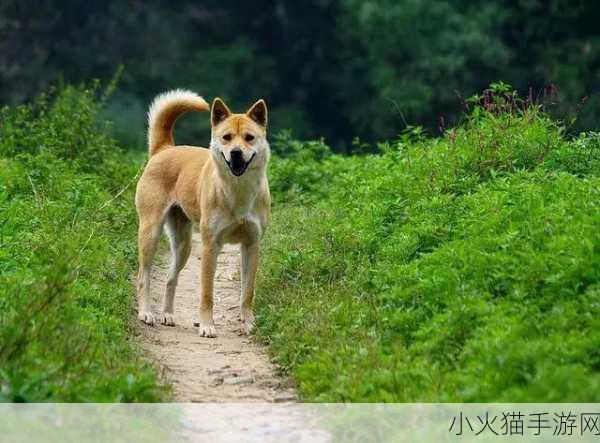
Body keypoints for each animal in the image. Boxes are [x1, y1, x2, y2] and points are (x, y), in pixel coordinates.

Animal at [136, 90, 270, 336]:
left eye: (249, 137)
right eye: (227, 137)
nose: (236, 153)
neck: (238, 191)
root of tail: (165, 148)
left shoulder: (252, 245)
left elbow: (247, 292)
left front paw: (248, 323)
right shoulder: (210, 245)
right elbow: (207, 293)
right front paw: (207, 325)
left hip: (183, 245)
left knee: (170, 278)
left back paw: (167, 315)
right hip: (150, 233)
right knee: (143, 276)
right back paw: (146, 313)